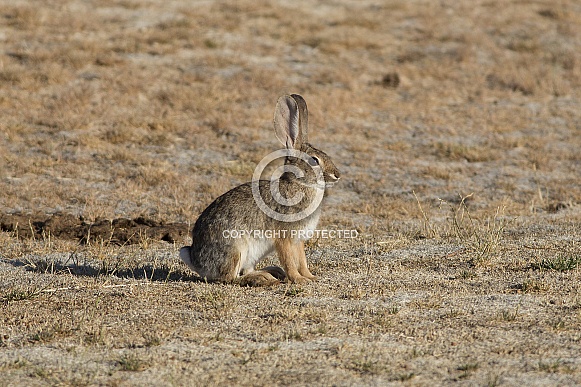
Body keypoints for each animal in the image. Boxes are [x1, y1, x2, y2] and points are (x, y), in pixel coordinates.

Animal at [179, 94, 338, 284]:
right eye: (314, 160)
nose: (337, 175)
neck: (300, 184)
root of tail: (197, 262)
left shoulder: (298, 239)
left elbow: (302, 260)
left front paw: (310, 277)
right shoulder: (284, 236)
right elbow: (289, 261)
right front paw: (299, 280)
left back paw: (269, 272)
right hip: (236, 248)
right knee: (230, 277)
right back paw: (263, 279)